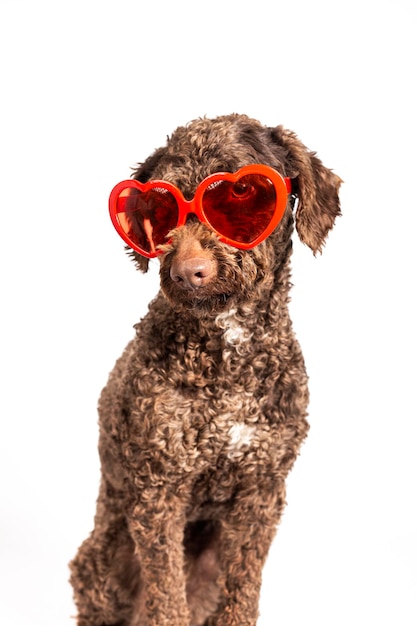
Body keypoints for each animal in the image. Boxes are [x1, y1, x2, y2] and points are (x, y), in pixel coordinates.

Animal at [69, 113, 342, 624]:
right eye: (161, 209)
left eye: (241, 194)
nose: (187, 271)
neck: (227, 363)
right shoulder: (158, 490)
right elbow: (166, 601)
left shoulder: (260, 492)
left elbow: (242, 594)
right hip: (104, 560)